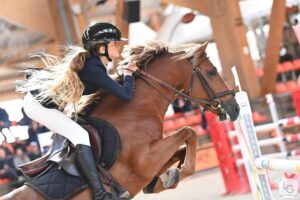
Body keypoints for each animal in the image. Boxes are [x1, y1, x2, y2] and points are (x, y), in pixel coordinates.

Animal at [1, 41, 239, 199]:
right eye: (212, 72)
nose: (235, 108)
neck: (136, 111)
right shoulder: (146, 159)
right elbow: (189, 131)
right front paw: (179, 173)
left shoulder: (152, 161)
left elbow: (180, 149)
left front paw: (165, 180)